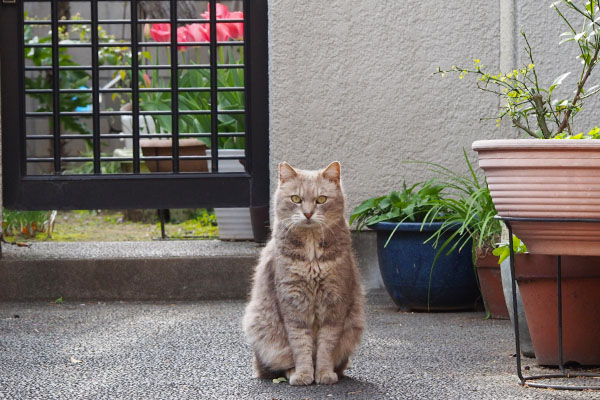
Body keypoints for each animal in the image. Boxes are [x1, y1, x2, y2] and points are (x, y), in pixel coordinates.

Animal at [240, 162, 364, 384]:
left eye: (321, 199)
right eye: (295, 199)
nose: (307, 214)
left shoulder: (334, 304)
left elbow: (326, 347)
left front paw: (324, 374)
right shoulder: (293, 304)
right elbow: (300, 345)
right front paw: (304, 375)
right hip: (260, 325)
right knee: (277, 365)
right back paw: (291, 372)